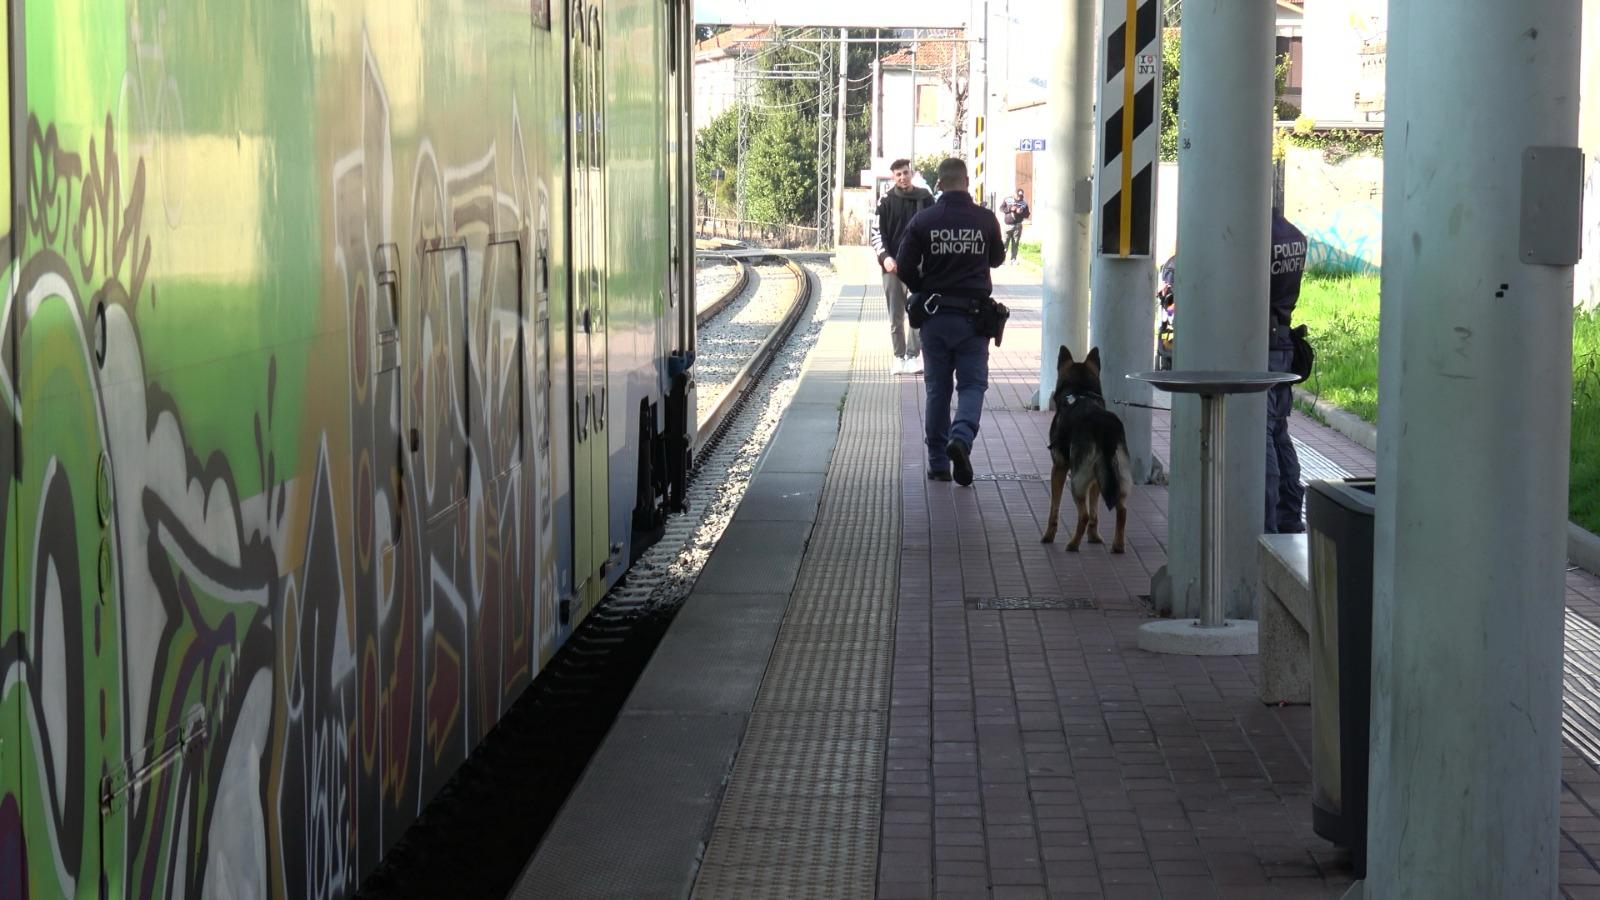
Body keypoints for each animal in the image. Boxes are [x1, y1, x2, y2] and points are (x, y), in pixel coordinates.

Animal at [1036, 344, 1139, 550]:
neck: (1080, 391)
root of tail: (1103, 428)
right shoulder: (1098, 479)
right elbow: (1095, 512)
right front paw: (1094, 537)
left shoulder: (1058, 468)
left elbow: (1054, 508)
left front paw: (1048, 535)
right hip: (1118, 476)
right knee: (1121, 510)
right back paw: (1117, 545)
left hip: (1076, 480)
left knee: (1083, 515)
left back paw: (1073, 544)